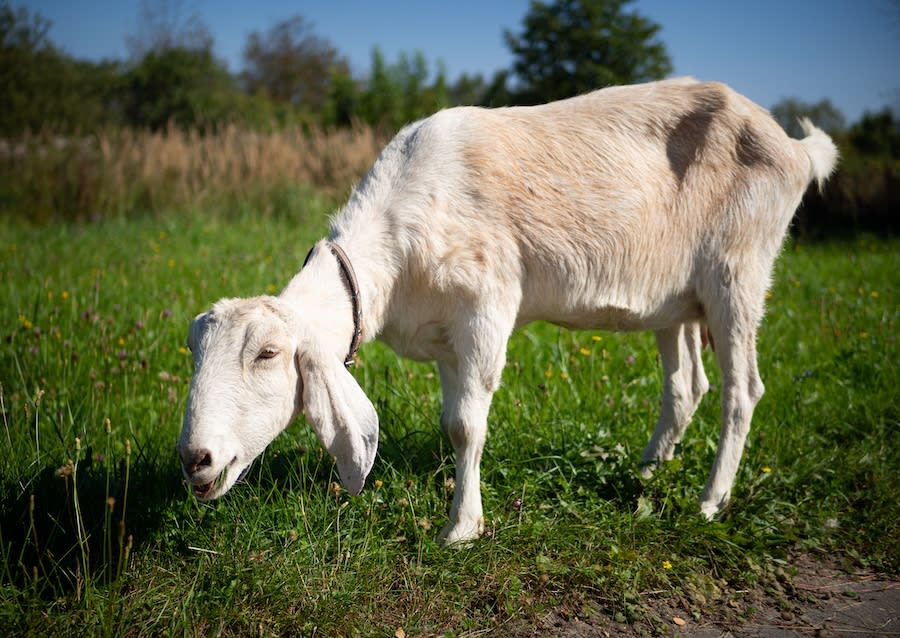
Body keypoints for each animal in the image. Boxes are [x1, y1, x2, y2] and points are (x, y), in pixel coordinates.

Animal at [177, 77, 838, 545]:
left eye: (268, 353)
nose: (194, 459)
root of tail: (795, 147)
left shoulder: (485, 311)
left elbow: (467, 426)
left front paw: (460, 529)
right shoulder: (445, 338)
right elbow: (452, 422)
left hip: (738, 271)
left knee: (741, 390)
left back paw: (709, 501)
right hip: (676, 298)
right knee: (685, 386)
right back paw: (649, 472)